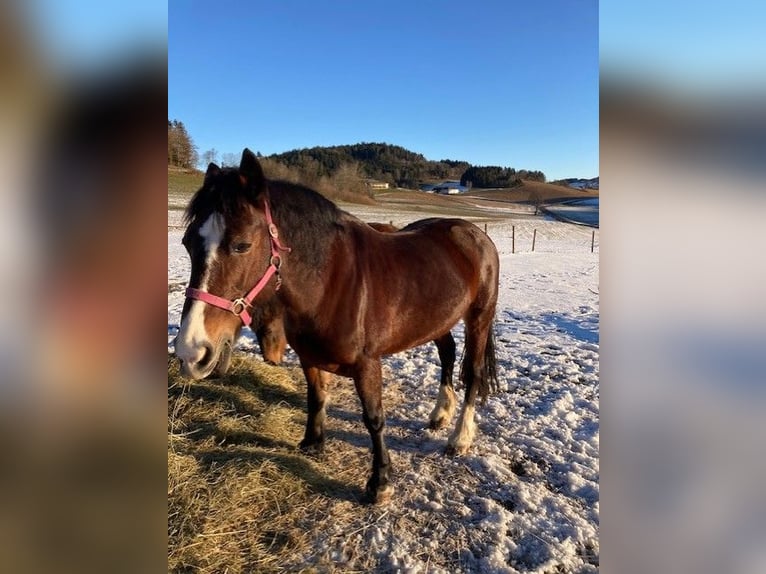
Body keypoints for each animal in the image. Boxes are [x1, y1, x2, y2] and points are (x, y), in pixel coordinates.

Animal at [178, 150, 504, 504]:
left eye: (242, 245)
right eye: (187, 243)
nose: (191, 351)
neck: (329, 282)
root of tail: (474, 233)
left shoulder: (367, 364)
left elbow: (374, 418)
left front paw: (380, 482)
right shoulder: (309, 356)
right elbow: (317, 397)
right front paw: (313, 443)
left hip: (479, 318)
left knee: (473, 373)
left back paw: (460, 437)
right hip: (437, 319)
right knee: (447, 353)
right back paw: (440, 414)